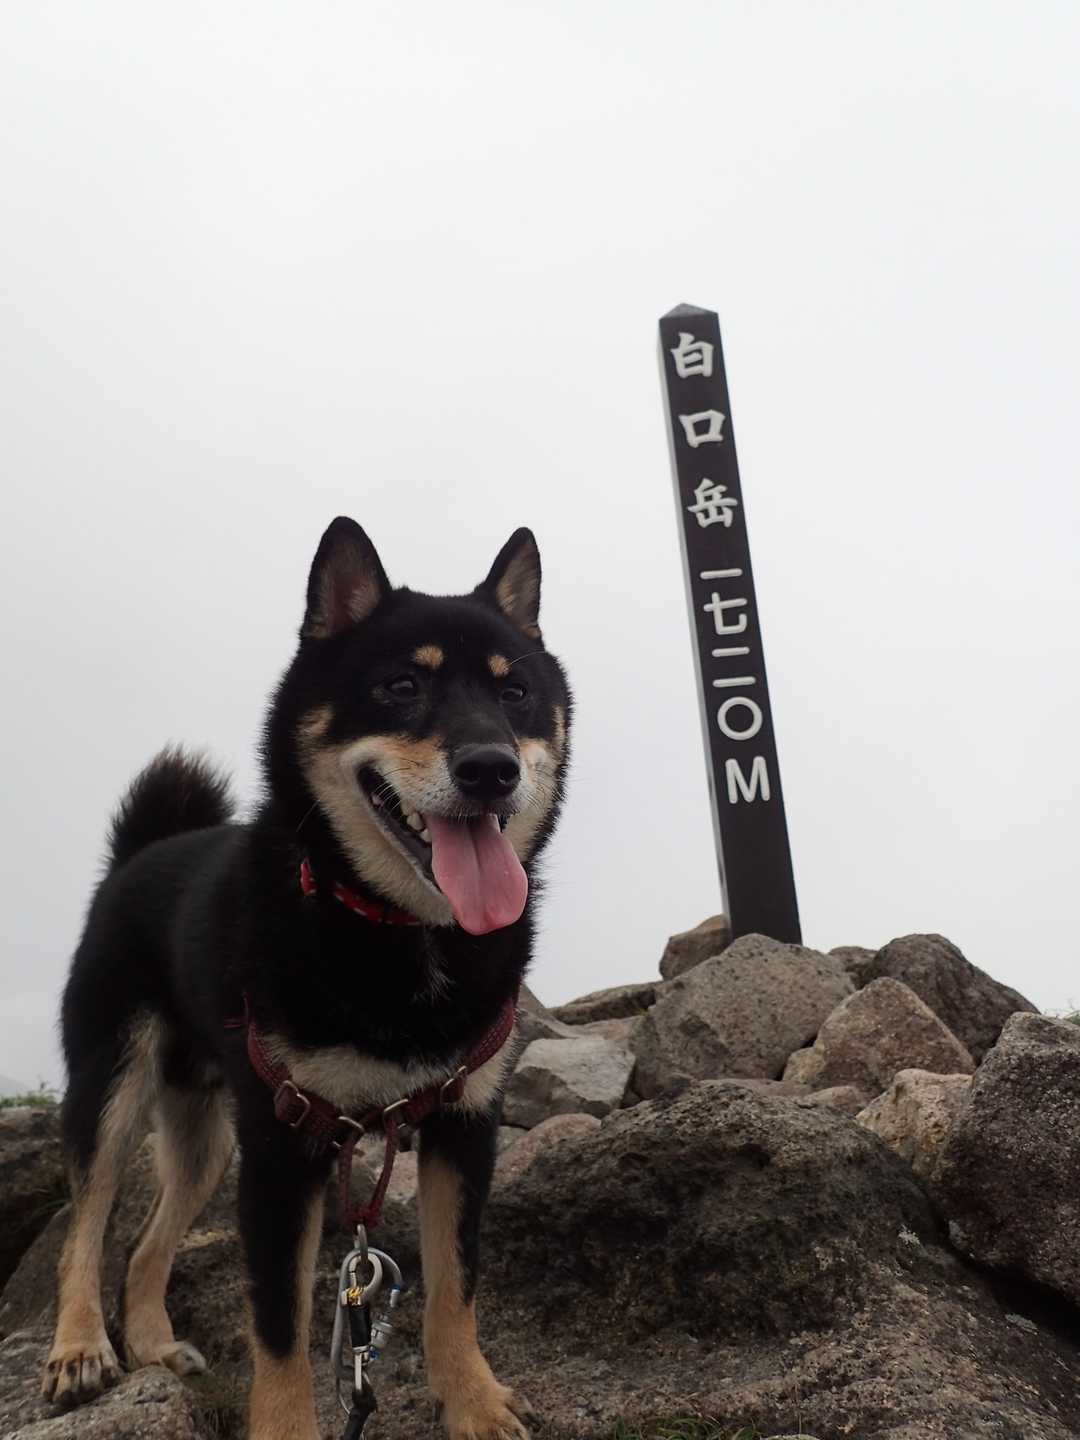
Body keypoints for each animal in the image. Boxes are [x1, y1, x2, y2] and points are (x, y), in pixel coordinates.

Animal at [42, 517, 571, 1440]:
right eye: (401, 686)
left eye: (514, 695)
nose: (491, 767)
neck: (398, 934)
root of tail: (140, 853)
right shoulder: (287, 1149)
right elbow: (280, 1326)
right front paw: (288, 1425)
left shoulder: (463, 1122)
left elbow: (456, 1287)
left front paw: (472, 1401)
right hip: (114, 1084)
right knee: (88, 1220)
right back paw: (80, 1350)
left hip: (210, 1139)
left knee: (143, 1244)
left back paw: (152, 1345)